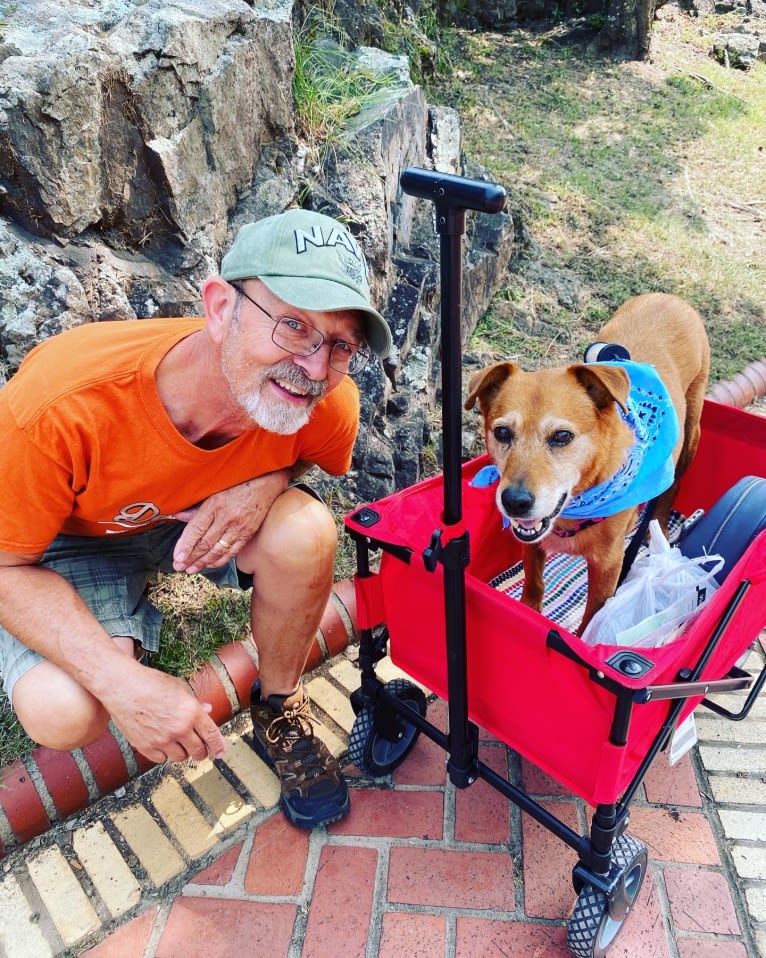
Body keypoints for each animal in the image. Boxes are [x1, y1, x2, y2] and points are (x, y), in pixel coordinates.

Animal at [464, 292, 712, 636]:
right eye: (501, 432)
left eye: (562, 436)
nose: (514, 502)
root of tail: (668, 297)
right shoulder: (533, 543)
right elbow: (534, 584)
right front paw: (528, 612)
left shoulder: (608, 564)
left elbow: (592, 616)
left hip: (691, 433)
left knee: (672, 486)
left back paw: (659, 526)